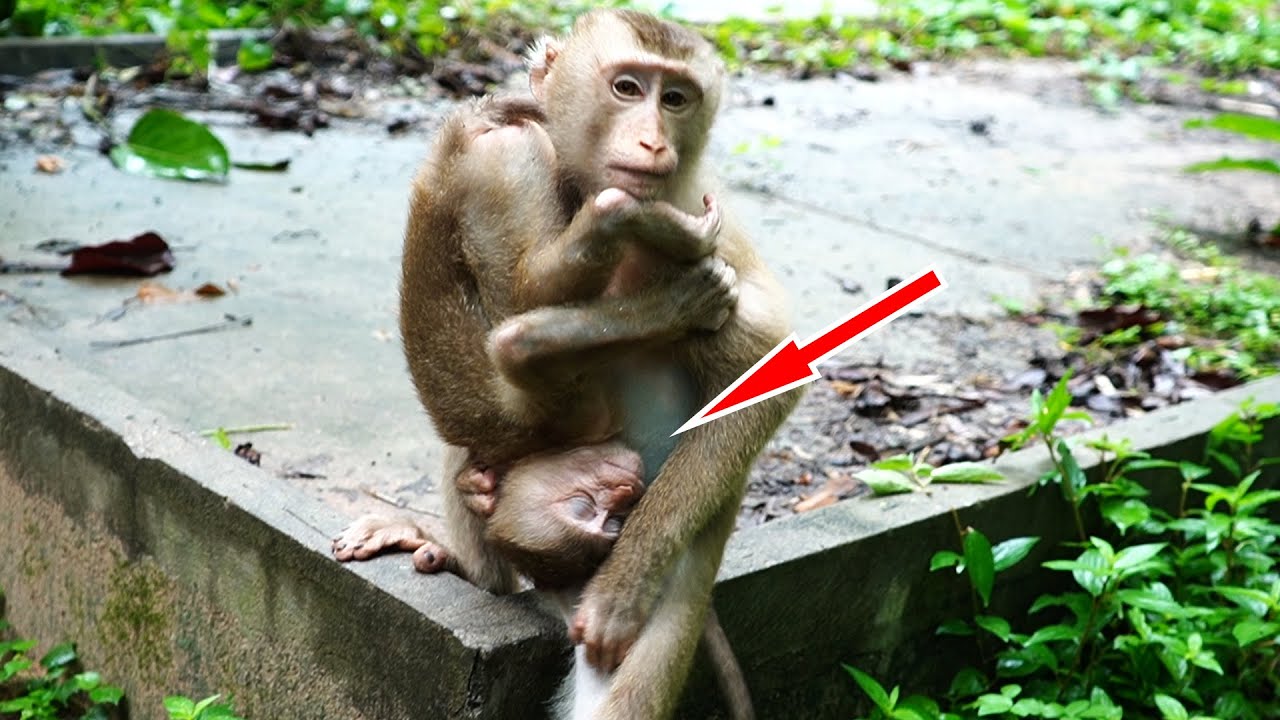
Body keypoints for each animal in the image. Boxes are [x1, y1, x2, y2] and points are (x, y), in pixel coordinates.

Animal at [333, 9, 799, 719]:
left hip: (680, 579)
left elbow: (767, 373)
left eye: (676, 98)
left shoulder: (696, 210)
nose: (653, 142)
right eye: (628, 88)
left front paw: (621, 591)